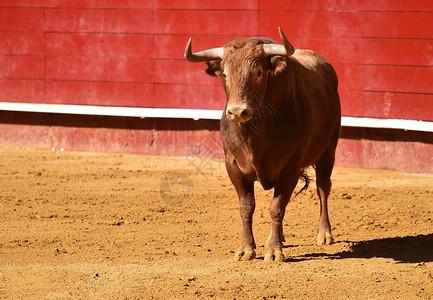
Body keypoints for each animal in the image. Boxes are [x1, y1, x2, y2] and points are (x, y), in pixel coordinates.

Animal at [185, 28, 340, 262]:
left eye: (258, 72)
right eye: (224, 74)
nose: (237, 111)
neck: (255, 132)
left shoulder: (290, 166)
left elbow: (276, 207)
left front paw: (274, 251)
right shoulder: (232, 165)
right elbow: (247, 206)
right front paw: (246, 249)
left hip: (328, 152)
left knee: (323, 188)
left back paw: (324, 234)